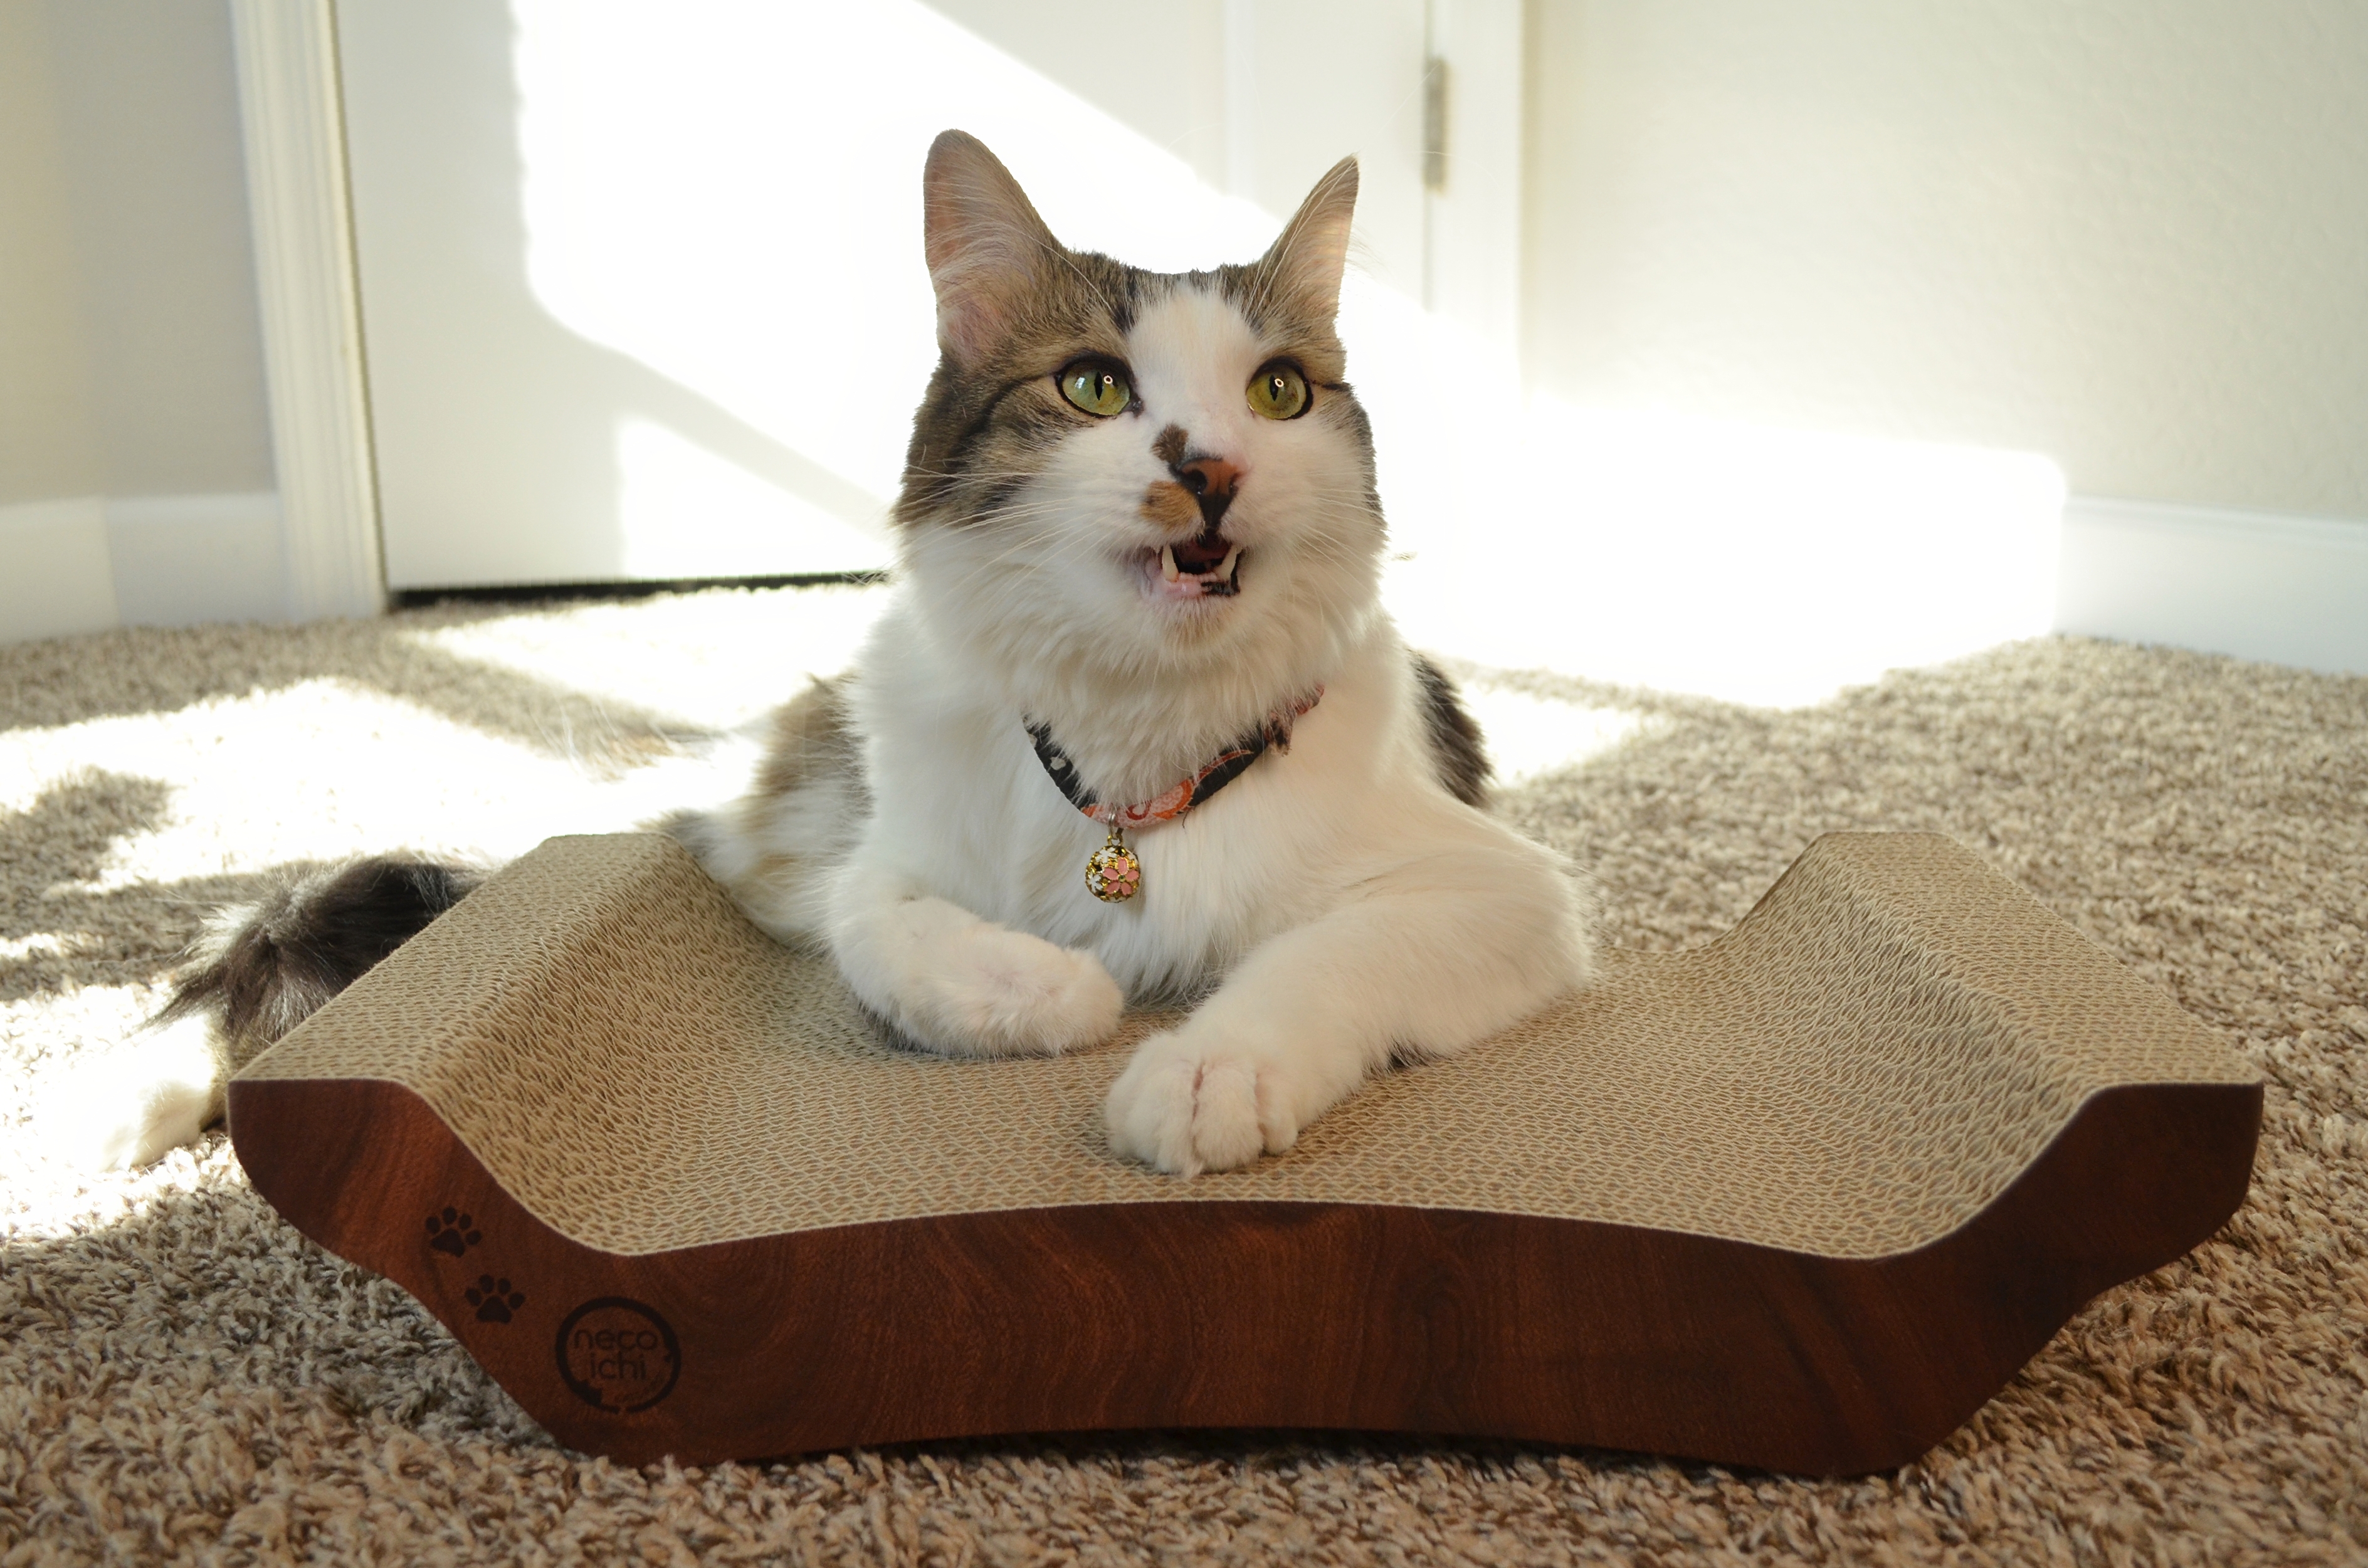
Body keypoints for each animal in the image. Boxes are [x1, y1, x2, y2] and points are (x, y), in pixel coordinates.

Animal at [78, 132, 1591, 1179]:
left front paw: (1203, 1074)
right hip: (697, 812)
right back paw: (115, 1103)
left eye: (1278, 392)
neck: (1131, 743)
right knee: (300, 918)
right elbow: (891, 933)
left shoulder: (1497, 889)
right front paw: (1050, 990)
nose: (1210, 469)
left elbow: (1310, 962)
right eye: (1093, 384)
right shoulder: (886, 853)